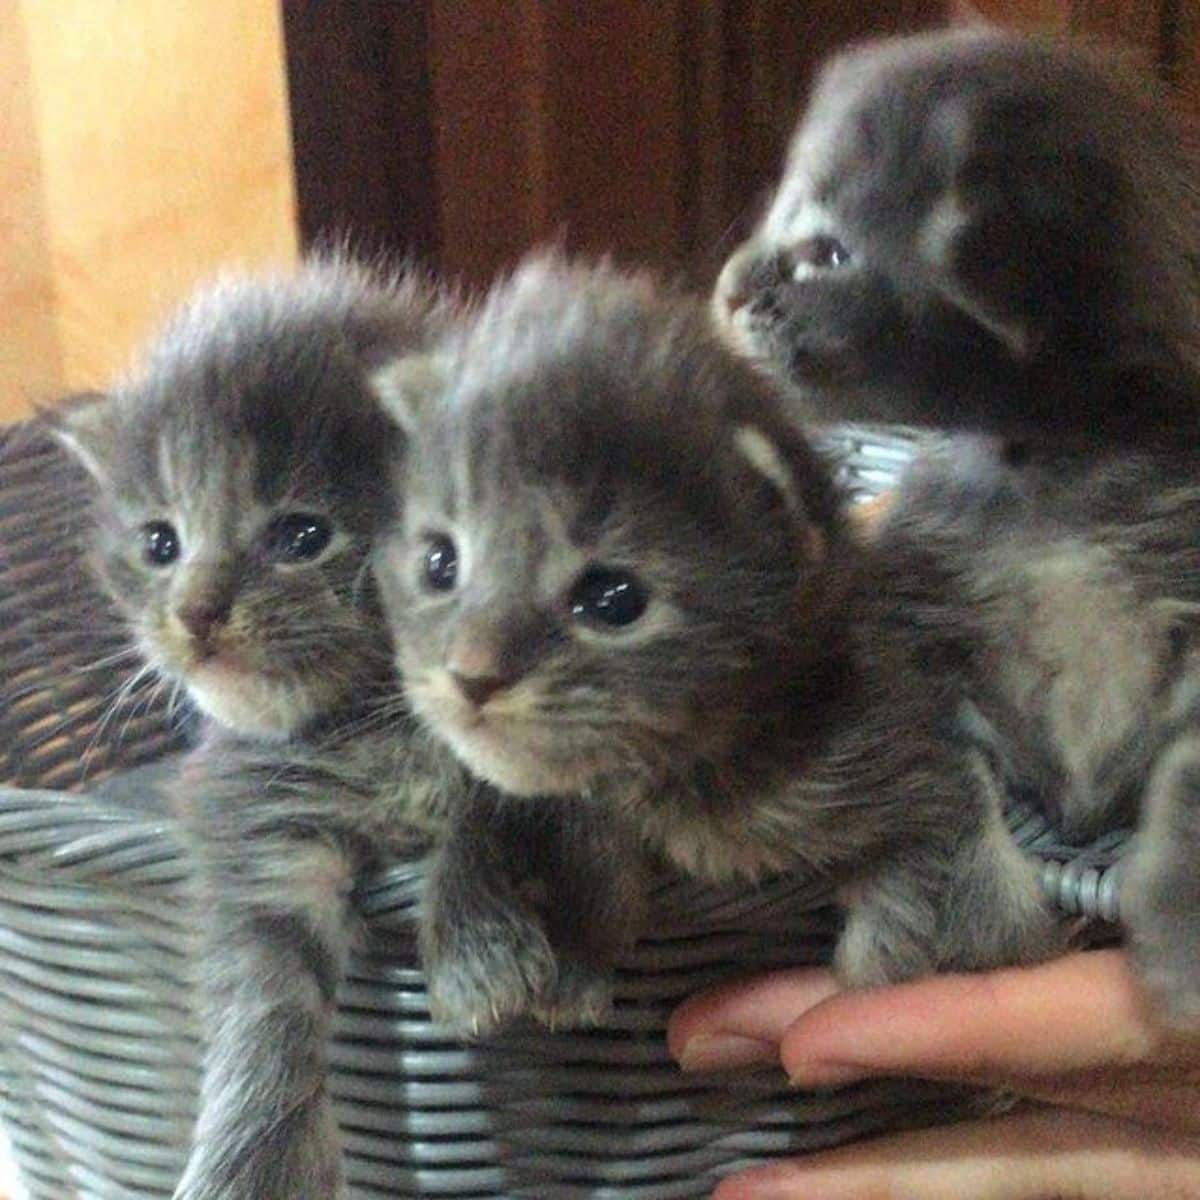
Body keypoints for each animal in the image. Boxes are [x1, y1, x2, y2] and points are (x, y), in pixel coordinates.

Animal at [45, 262, 463, 1200]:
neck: (373, 724)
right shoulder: (260, 817)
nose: (195, 614)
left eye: (301, 535)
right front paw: (255, 1162)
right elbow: (264, 992)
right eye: (159, 543)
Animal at [372, 250, 1060, 1032]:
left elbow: (936, 822)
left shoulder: (898, 722)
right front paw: (547, 961)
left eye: (614, 600)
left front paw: (886, 955)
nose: (472, 674)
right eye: (438, 562)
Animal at [710, 28, 1200, 1022]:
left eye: (825, 253)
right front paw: (968, 926)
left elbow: (1193, 765)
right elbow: (942, 783)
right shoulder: (914, 635)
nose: (726, 288)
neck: (1050, 465)